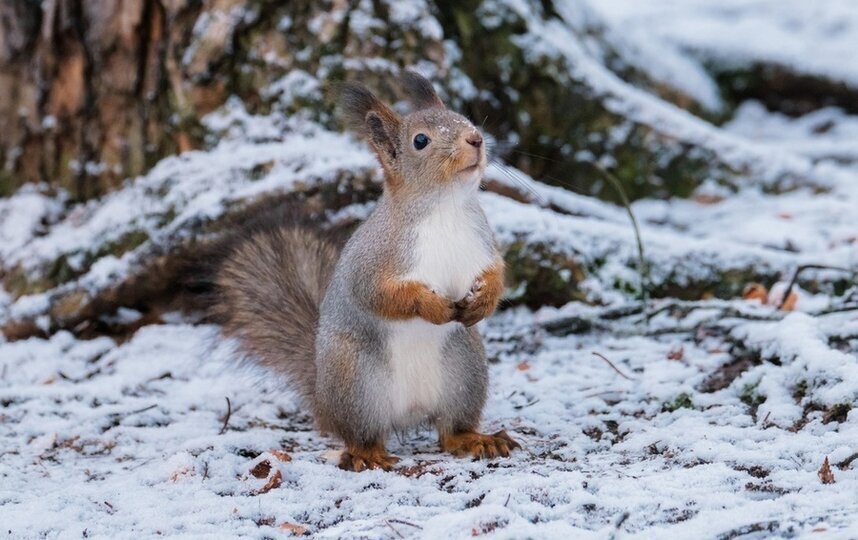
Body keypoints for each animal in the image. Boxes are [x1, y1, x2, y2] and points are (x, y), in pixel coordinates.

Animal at [217, 73, 520, 472]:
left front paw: (484, 300)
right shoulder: (371, 263)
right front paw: (432, 306)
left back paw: (476, 439)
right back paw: (368, 456)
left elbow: (497, 274)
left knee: (450, 431)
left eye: (464, 117)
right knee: (362, 435)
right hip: (356, 381)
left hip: (465, 372)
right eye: (420, 141)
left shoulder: (483, 247)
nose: (476, 139)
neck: (446, 209)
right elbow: (381, 295)